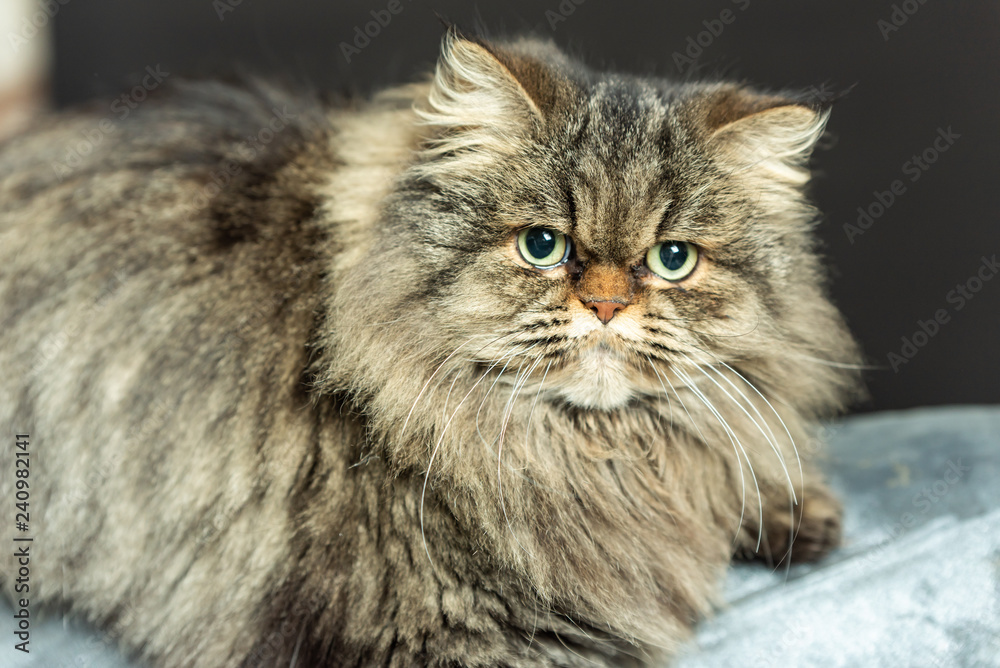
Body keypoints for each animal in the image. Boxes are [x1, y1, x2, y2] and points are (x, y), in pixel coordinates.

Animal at [0, 28, 860, 664]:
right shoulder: (429, 631)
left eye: (672, 259)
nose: (607, 304)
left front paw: (793, 513)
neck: (594, 455)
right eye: (543, 246)